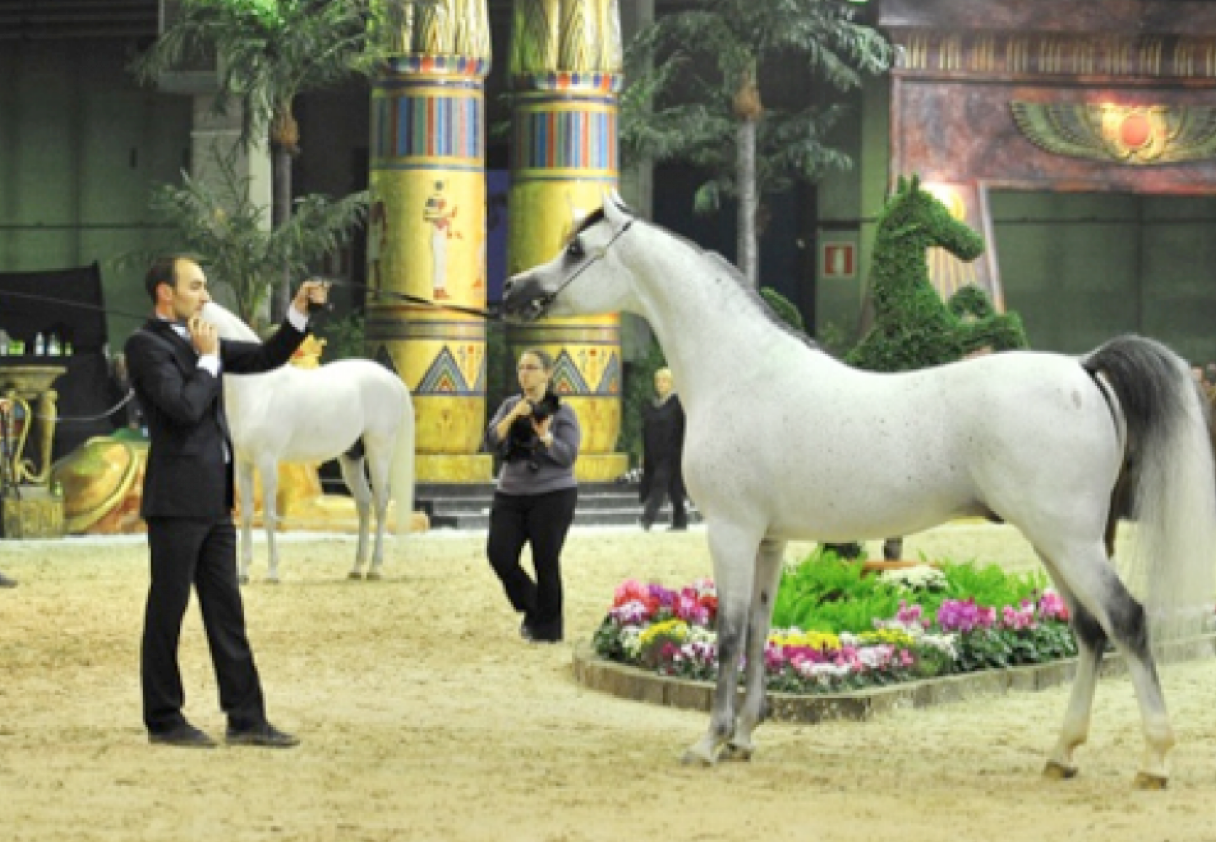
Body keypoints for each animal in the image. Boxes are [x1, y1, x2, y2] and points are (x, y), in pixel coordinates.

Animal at [201, 302, 415, 583]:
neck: (259, 387)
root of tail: (391, 378)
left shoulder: (267, 462)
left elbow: (269, 516)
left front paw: (272, 572)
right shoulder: (244, 464)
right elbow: (246, 515)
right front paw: (243, 573)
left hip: (379, 450)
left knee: (381, 502)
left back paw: (375, 568)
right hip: (352, 456)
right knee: (364, 503)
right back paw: (357, 567)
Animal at [501, 194, 1216, 788]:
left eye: (575, 249)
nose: (513, 289)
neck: (741, 372)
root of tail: (1084, 367)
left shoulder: (731, 531)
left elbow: (729, 634)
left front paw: (709, 742)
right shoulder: (769, 541)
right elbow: (758, 631)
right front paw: (744, 738)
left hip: (1069, 540)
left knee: (1127, 620)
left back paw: (1154, 760)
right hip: (1055, 541)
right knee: (1092, 632)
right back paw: (1062, 753)